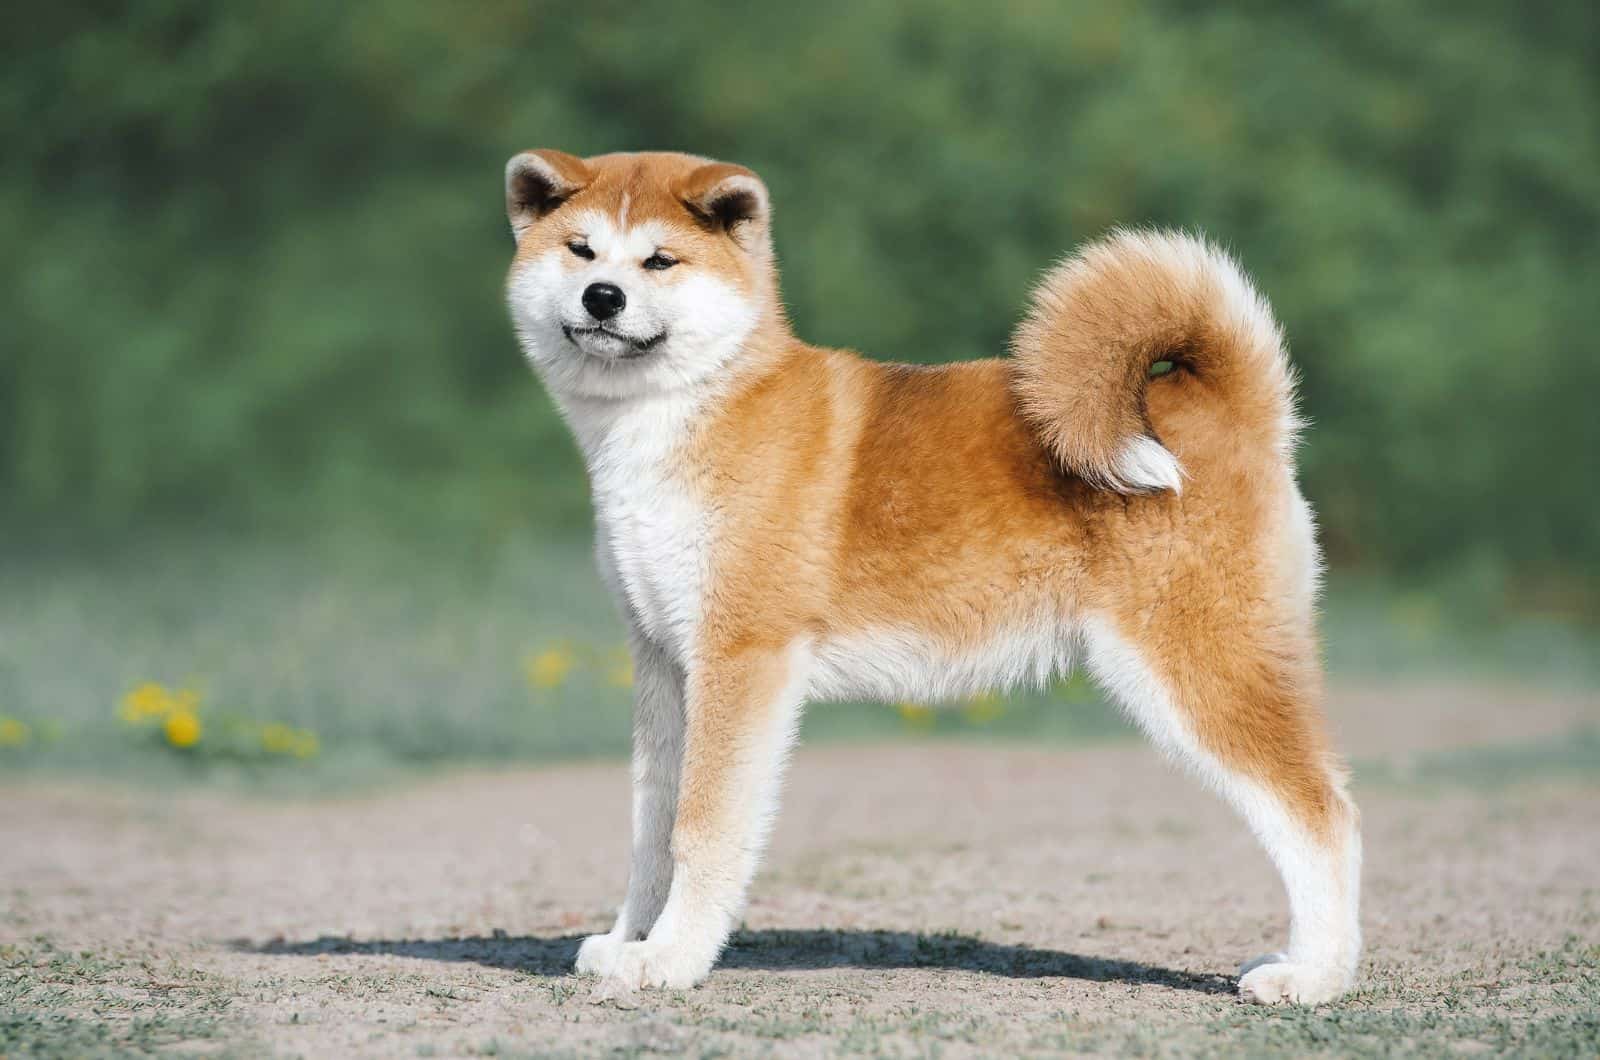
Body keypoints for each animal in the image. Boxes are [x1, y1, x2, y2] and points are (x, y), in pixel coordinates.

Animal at [499, 147, 1363, 1005]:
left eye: (660, 260)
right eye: (581, 250)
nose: (603, 297)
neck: (687, 412)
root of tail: (1233, 408)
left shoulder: (741, 657)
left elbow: (701, 829)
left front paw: (673, 957)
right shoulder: (663, 661)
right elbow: (651, 830)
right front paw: (628, 943)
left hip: (1197, 671)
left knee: (1322, 814)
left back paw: (1314, 974)